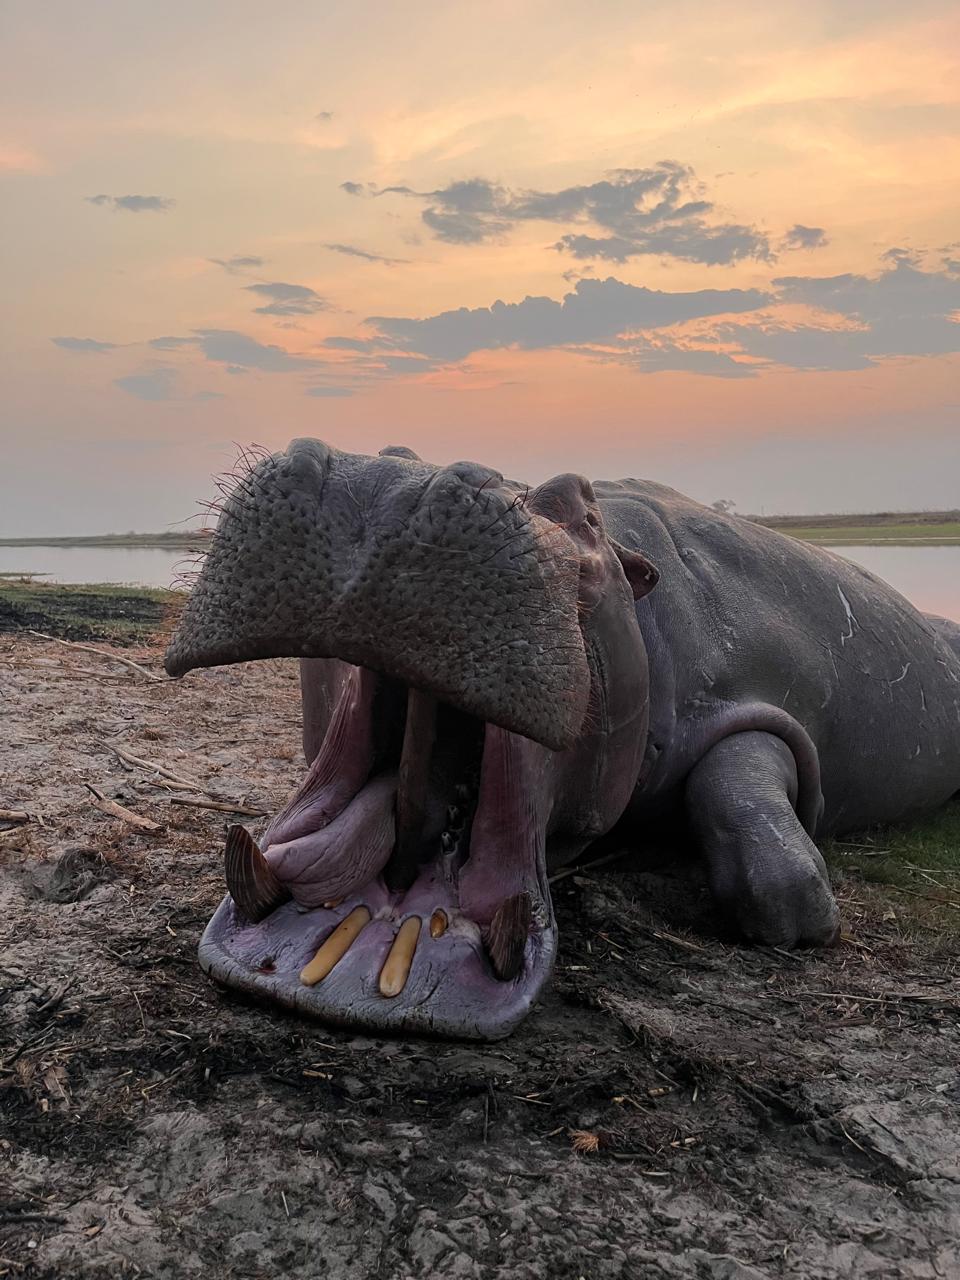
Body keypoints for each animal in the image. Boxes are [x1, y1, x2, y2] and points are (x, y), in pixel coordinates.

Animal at [164, 439, 960, 1040]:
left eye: (584, 511)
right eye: (392, 453)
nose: (389, 484)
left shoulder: (751, 703)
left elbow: (757, 820)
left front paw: (805, 920)